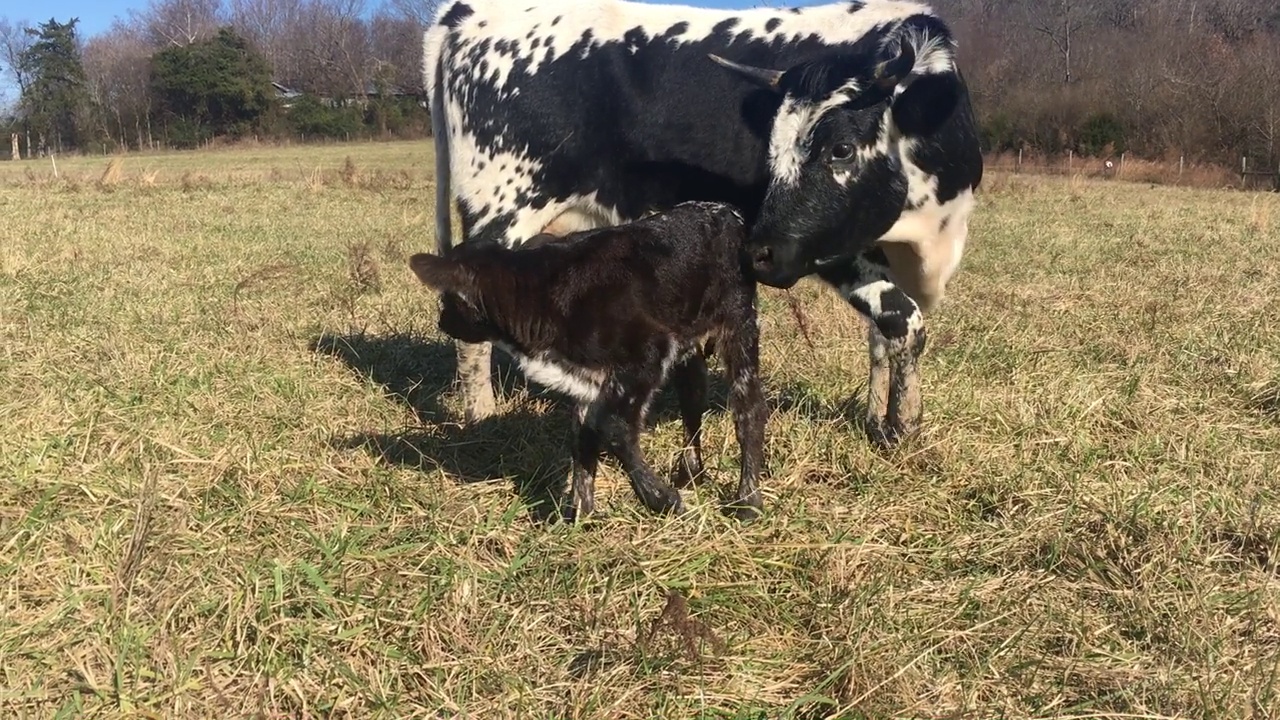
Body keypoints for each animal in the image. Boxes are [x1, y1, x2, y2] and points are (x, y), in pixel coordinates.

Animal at [414, 198, 762, 517]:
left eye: (448, 299)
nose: (441, 322)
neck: (537, 294)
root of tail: (727, 211)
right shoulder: (585, 382)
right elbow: (583, 438)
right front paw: (578, 515)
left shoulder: (648, 354)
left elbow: (615, 429)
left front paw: (660, 498)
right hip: (691, 345)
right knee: (693, 401)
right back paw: (692, 472)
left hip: (739, 324)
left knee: (749, 411)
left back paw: (748, 500)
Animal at [424, 0, 983, 445]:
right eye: (770, 148)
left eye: (841, 148)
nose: (757, 253)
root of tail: (467, 12)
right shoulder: (829, 246)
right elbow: (905, 324)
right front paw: (904, 429)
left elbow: (880, 340)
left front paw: (876, 419)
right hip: (501, 209)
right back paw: (481, 418)